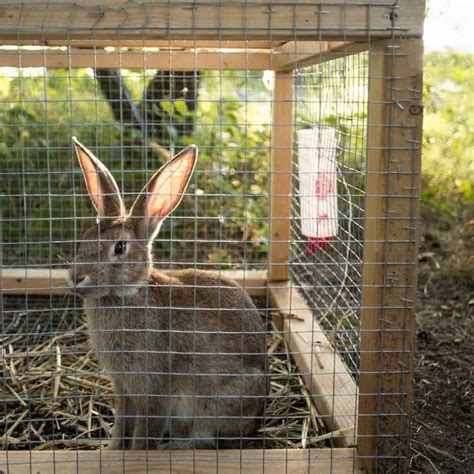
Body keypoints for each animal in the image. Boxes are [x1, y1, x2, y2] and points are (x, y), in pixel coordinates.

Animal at [67, 138, 268, 452]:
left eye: (120, 247)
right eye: (84, 240)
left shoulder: (154, 390)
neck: (127, 295)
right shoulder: (123, 388)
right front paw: (110, 451)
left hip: (215, 404)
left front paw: (136, 454)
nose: (76, 277)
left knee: (207, 440)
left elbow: (143, 433)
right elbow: (121, 424)